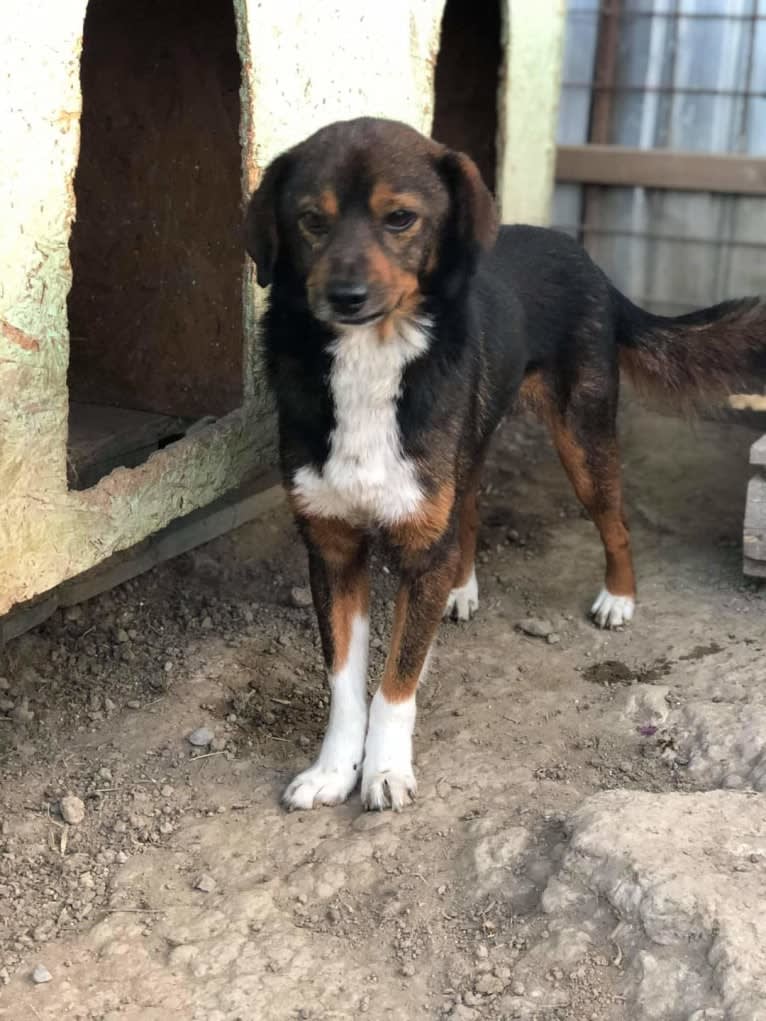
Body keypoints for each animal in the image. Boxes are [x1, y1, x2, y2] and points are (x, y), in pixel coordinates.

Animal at [247, 115, 766, 812]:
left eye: (400, 218)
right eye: (311, 220)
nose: (344, 296)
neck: (370, 358)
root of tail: (589, 261)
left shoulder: (417, 543)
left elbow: (395, 684)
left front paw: (385, 770)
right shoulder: (332, 547)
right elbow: (344, 684)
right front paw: (334, 770)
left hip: (583, 441)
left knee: (616, 522)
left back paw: (618, 598)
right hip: (469, 447)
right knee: (467, 511)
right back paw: (461, 588)